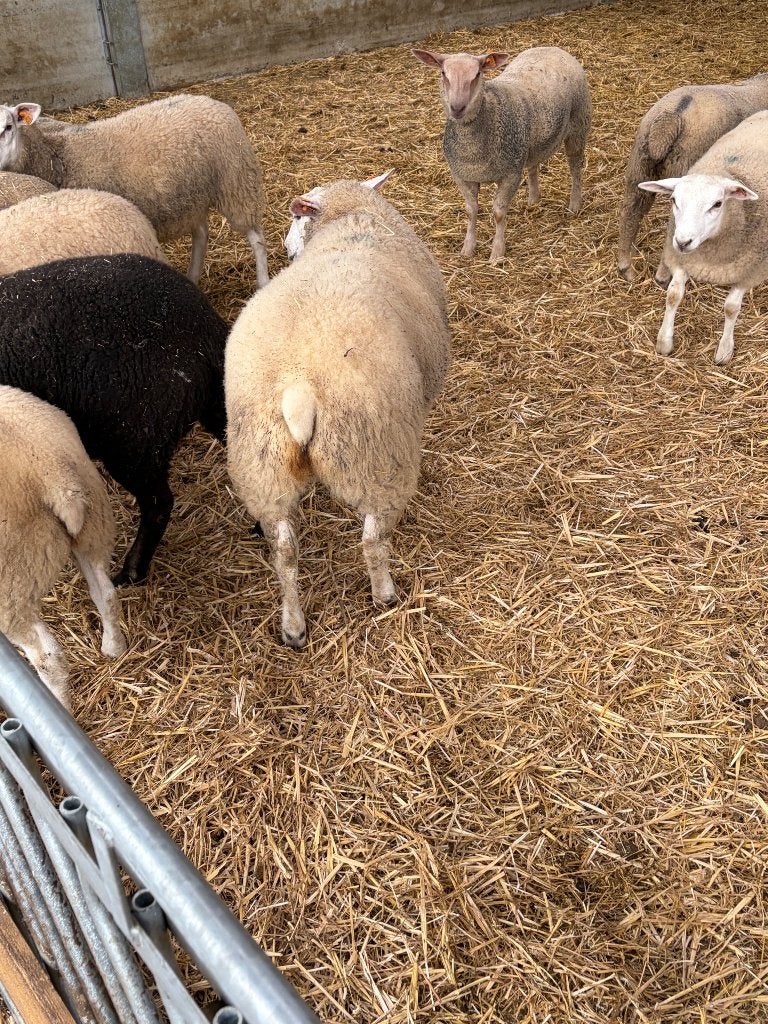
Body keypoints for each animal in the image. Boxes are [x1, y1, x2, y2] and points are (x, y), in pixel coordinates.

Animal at [0, 385, 125, 708]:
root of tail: (52, 475)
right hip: (92, 527)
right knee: (106, 595)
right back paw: (114, 647)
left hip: (11, 587)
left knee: (48, 658)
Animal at [226, 175, 451, 648]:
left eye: (296, 218)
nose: (285, 241)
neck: (353, 219)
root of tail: (300, 387)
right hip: (375, 450)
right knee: (372, 538)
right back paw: (385, 594)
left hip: (261, 465)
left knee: (284, 551)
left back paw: (293, 626)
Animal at [411, 46, 591, 263]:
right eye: (443, 73)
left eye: (477, 74)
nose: (457, 108)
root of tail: (553, 48)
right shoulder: (462, 175)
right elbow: (471, 210)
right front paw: (467, 249)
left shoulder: (510, 174)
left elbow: (498, 213)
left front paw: (497, 254)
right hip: (530, 143)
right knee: (533, 166)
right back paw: (533, 199)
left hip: (578, 125)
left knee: (575, 168)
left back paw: (574, 205)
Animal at [618, 72, 768, 283]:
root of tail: (671, 117)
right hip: (684, 169)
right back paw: (664, 275)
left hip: (639, 166)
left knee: (630, 213)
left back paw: (625, 267)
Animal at [638, 110, 768, 365]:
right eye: (674, 200)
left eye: (717, 204)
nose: (682, 242)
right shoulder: (682, 260)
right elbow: (673, 295)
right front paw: (664, 341)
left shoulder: (748, 272)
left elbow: (731, 308)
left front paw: (724, 350)